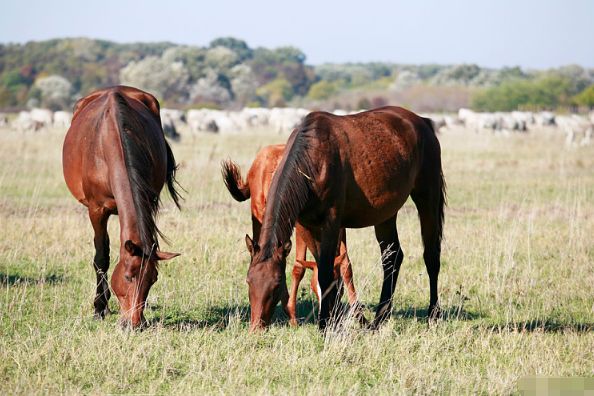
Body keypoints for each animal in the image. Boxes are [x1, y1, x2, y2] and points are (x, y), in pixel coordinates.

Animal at [61, 86, 183, 328]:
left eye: (153, 279)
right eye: (128, 276)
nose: (135, 324)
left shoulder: (148, 201)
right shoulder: (96, 210)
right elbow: (102, 256)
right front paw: (99, 308)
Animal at [221, 145, 364, 324]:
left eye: (337, 288)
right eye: (314, 288)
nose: (331, 317)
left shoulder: (339, 226)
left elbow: (346, 264)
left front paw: (360, 317)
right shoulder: (301, 226)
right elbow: (298, 267)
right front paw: (293, 317)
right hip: (261, 218)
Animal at [243, 106, 442, 332]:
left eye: (277, 283)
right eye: (249, 281)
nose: (256, 327)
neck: (313, 158)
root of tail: (422, 122)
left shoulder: (331, 222)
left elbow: (326, 272)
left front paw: (324, 324)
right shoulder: (308, 225)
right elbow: (325, 271)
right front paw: (332, 319)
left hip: (428, 198)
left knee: (431, 256)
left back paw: (433, 315)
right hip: (386, 214)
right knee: (392, 257)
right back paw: (380, 318)